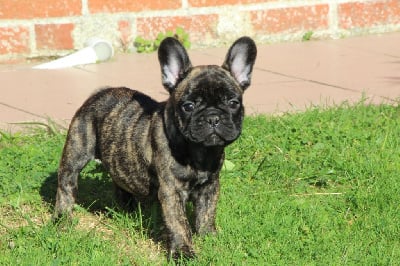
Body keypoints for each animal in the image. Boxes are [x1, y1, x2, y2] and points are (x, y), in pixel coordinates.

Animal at [53, 36, 258, 258]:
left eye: (233, 103)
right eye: (188, 106)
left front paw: (209, 237)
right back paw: (62, 218)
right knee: (66, 185)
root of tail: (99, 92)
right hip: (76, 152)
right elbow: (179, 223)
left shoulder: (210, 186)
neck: (199, 151)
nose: (213, 117)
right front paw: (183, 253)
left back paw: (127, 209)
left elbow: (207, 212)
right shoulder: (171, 191)